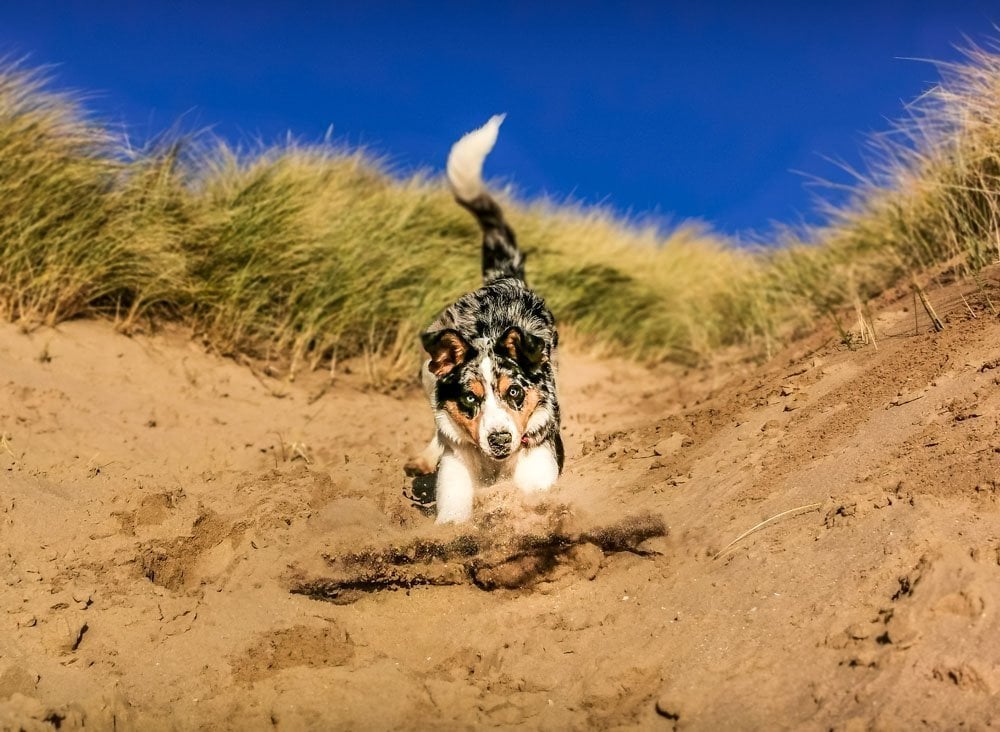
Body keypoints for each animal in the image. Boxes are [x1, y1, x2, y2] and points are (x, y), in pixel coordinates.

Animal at [406, 117, 564, 524]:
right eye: (469, 398)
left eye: (515, 392)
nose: (500, 439)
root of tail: (503, 278)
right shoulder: (457, 468)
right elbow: (453, 513)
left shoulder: (538, 460)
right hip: (427, 375)